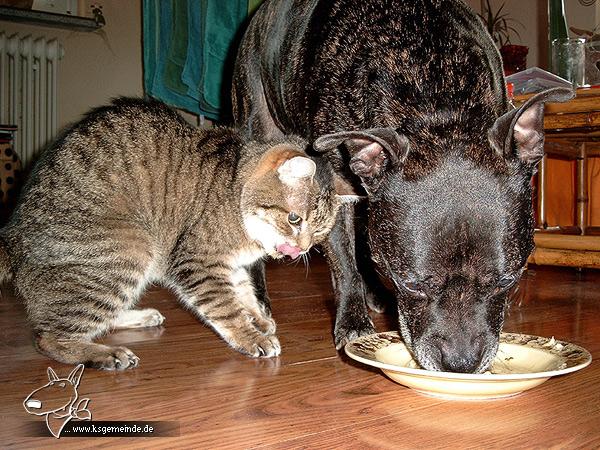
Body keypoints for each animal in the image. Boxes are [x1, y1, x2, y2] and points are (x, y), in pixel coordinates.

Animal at [0, 97, 346, 370]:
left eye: (319, 234)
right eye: (294, 218)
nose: (302, 249)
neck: (236, 189)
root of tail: (12, 236)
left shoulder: (228, 265)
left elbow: (244, 291)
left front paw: (257, 317)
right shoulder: (197, 261)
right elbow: (226, 306)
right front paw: (251, 336)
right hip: (131, 247)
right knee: (49, 337)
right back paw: (107, 355)